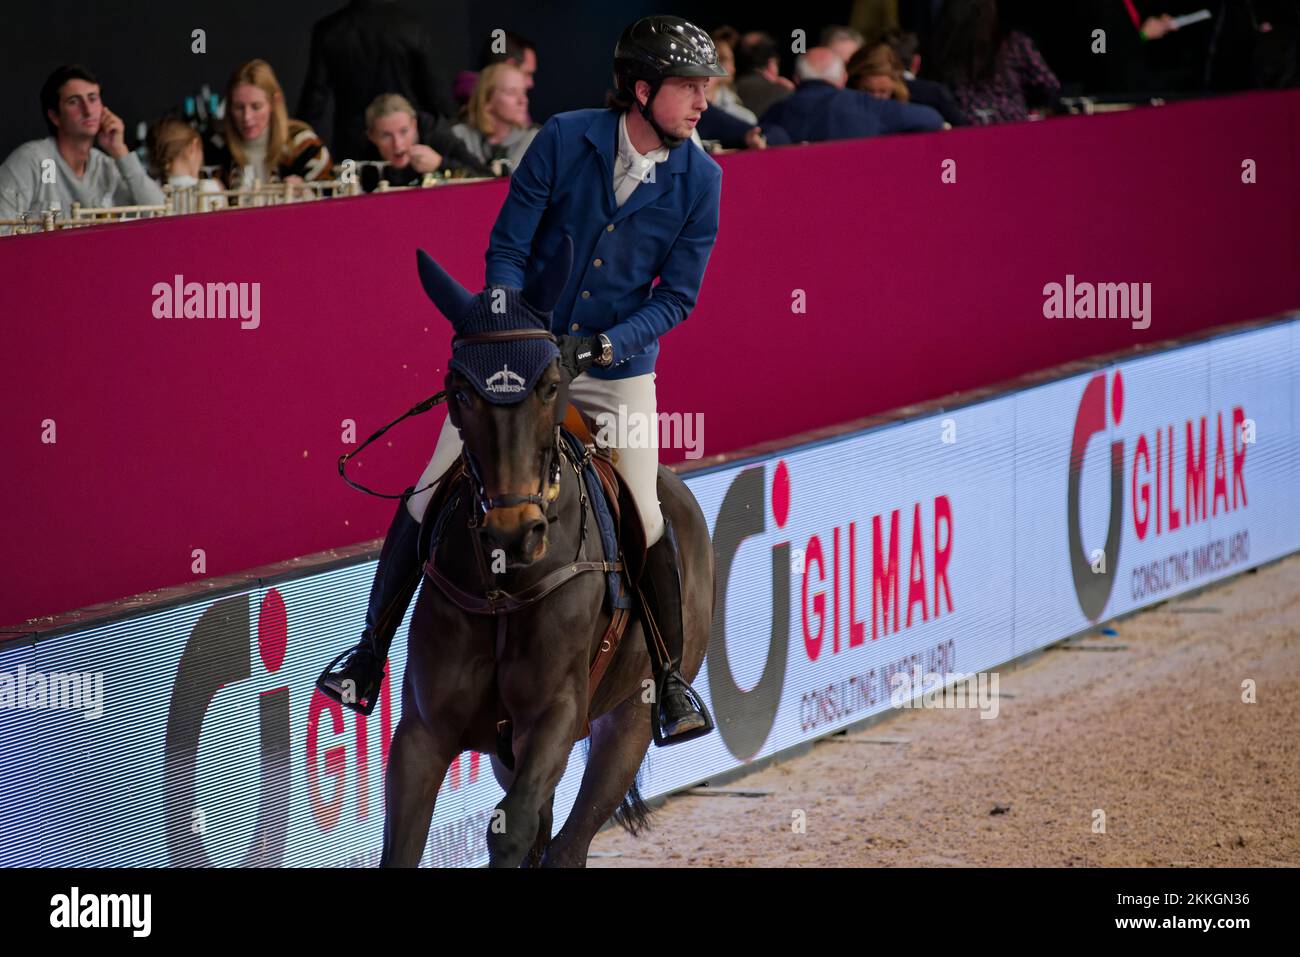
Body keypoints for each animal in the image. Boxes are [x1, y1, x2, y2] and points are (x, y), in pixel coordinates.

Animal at [379, 240, 712, 868]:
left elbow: (511, 833)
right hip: (505, 745)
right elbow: (404, 846)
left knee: (566, 843)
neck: (504, 586)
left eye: (550, 385)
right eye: (459, 390)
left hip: (629, 721)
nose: (513, 535)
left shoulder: (554, 715)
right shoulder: (423, 732)